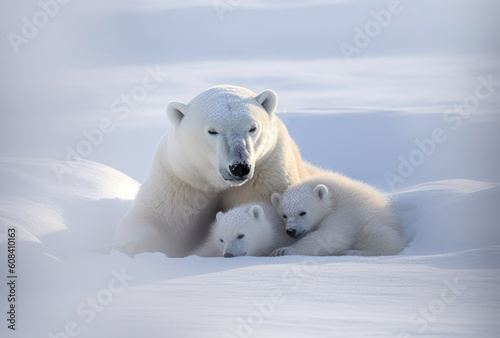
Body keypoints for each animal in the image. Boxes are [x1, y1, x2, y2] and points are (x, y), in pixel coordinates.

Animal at [115, 84, 318, 256]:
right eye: (212, 131)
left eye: (252, 128)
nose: (239, 167)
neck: (218, 182)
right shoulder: (182, 178)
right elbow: (156, 220)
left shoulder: (266, 172)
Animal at [270, 172, 406, 256]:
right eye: (284, 215)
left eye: (303, 212)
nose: (291, 231)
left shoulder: (343, 214)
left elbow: (331, 236)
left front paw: (282, 250)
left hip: (370, 220)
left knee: (382, 238)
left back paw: (354, 252)